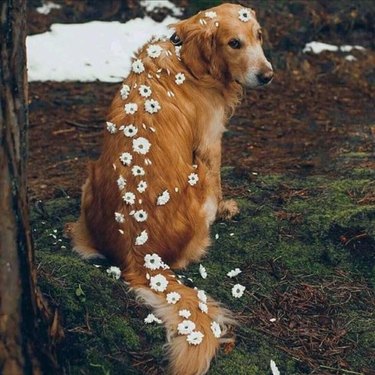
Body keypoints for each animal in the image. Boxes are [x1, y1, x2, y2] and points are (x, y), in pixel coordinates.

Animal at [67, 3, 274, 375]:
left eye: (258, 36)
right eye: (234, 43)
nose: (268, 75)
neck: (185, 56)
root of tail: (139, 256)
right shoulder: (210, 143)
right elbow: (219, 182)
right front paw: (227, 208)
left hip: (88, 181)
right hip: (197, 182)